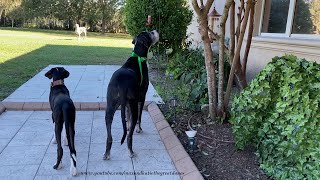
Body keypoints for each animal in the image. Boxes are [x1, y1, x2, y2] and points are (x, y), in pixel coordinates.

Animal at [104, 30, 159, 160]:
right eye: (149, 33)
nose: (155, 30)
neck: (138, 56)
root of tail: (122, 84)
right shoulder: (141, 97)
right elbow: (139, 117)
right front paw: (139, 129)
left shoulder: (128, 104)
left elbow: (127, 118)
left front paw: (128, 127)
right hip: (133, 104)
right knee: (129, 135)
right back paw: (131, 151)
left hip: (110, 106)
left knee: (109, 136)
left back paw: (107, 153)